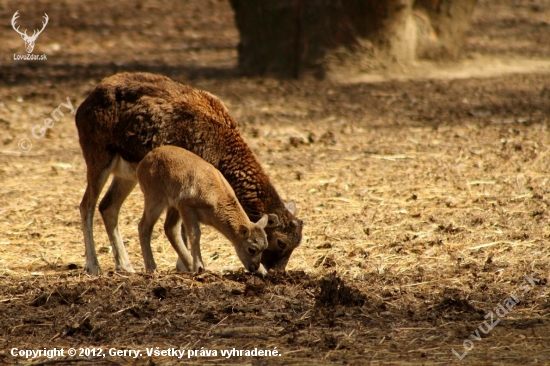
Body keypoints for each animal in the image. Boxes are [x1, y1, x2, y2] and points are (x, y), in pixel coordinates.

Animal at [137, 145, 268, 274]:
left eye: (264, 248)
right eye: (251, 249)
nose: (254, 267)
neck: (215, 201)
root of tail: (143, 162)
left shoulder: (181, 206)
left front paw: (263, 271)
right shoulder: (186, 206)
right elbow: (195, 234)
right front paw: (199, 267)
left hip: (173, 206)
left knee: (170, 229)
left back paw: (188, 266)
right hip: (154, 198)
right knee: (144, 227)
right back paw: (152, 268)